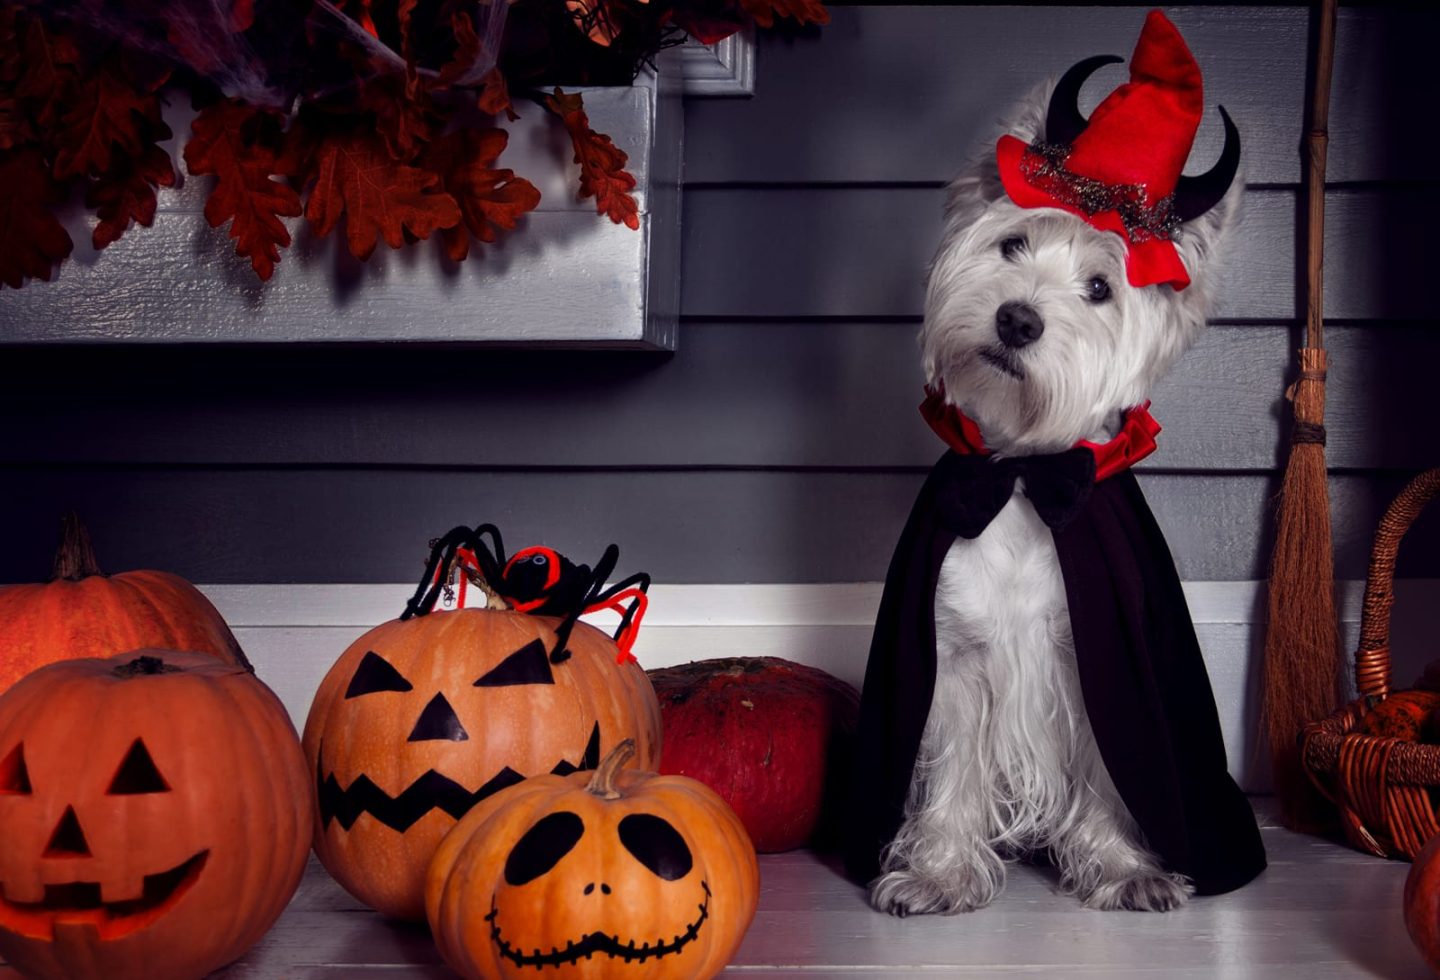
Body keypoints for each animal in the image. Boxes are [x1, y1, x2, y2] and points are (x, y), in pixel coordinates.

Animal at [846, 13, 1267, 915]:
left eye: (1101, 289)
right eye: (1011, 244)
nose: (1017, 319)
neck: (1020, 477)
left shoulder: (1095, 660)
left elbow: (1110, 774)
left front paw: (1123, 869)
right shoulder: (955, 657)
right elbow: (952, 772)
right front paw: (938, 871)